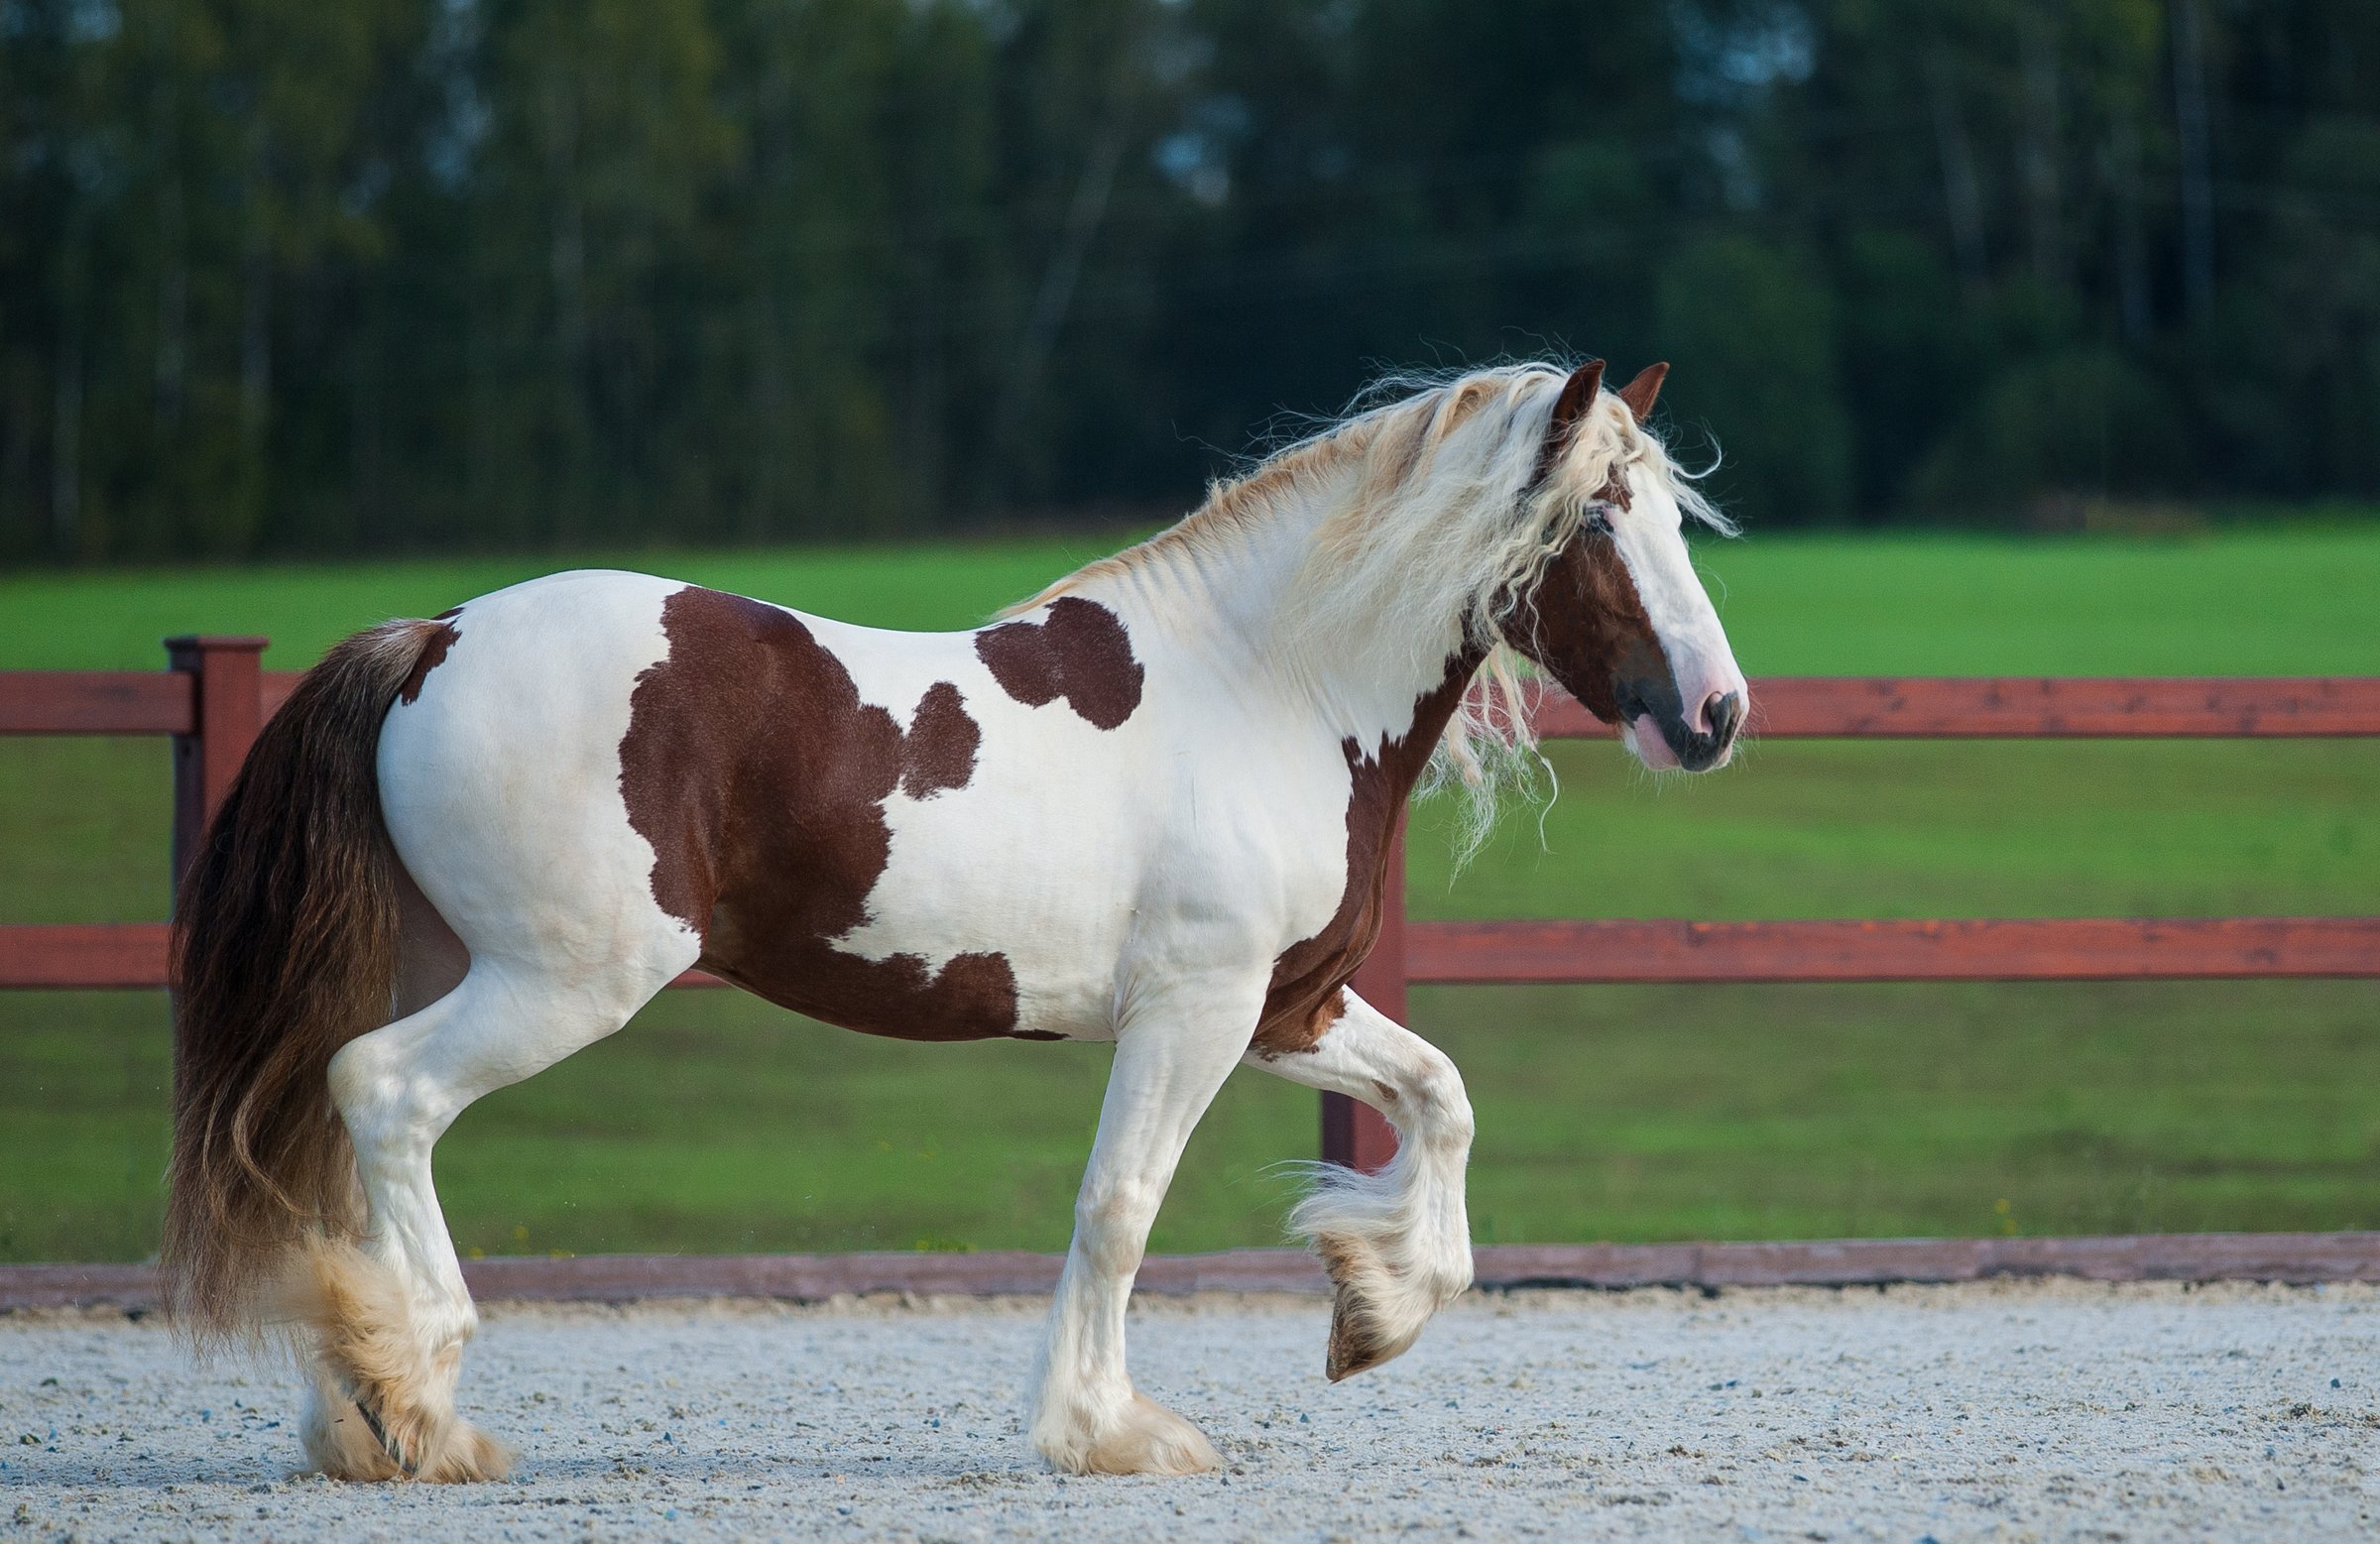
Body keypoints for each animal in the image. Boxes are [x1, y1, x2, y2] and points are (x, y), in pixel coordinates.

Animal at [161, 358, 1746, 1482]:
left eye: (1673, 514)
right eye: (1596, 516)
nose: (1718, 716)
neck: (1269, 688)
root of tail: (431, 637)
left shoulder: (1281, 1003)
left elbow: (1441, 1096)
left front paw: (1376, 1309)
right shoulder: (1195, 1009)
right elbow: (1120, 1207)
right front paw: (1111, 1430)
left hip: (463, 961)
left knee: (345, 1128)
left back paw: (363, 1413)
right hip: (563, 979)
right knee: (383, 1092)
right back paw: (419, 1407)